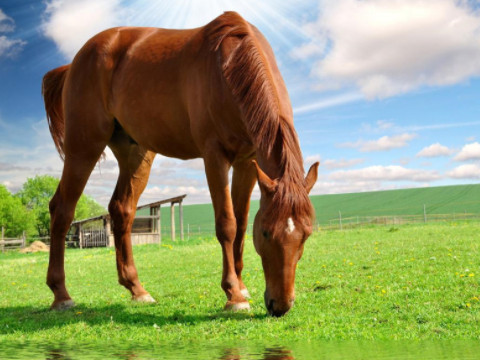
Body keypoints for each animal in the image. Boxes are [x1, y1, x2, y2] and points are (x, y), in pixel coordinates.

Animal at [42, 11, 318, 316]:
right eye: (267, 233)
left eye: (306, 235)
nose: (280, 305)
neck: (229, 67)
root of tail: (74, 62)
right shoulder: (214, 157)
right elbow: (227, 224)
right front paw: (234, 295)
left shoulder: (248, 162)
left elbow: (242, 224)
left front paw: (242, 286)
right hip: (84, 147)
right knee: (62, 210)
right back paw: (61, 294)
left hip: (135, 154)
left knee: (121, 210)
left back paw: (137, 289)